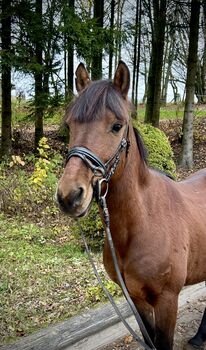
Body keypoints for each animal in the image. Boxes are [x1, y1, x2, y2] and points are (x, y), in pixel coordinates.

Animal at [56, 61, 206, 348]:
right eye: (69, 125)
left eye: (117, 126)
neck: (144, 221)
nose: (70, 196)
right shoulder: (136, 300)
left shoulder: (167, 301)